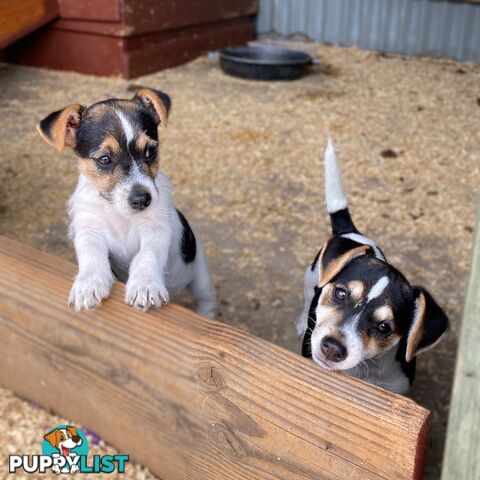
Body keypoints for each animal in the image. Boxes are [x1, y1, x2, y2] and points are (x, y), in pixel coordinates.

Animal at [37, 87, 216, 316]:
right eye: (104, 159)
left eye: (151, 151)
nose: (142, 200)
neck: (119, 214)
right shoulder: (88, 230)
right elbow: (91, 255)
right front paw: (88, 283)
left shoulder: (155, 230)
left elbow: (146, 256)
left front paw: (145, 285)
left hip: (201, 277)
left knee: (207, 300)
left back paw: (205, 314)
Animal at [298, 138, 448, 394]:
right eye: (340, 294)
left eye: (384, 327)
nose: (332, 348)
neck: (364, 371)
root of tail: (351, 232)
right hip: (310, 280)